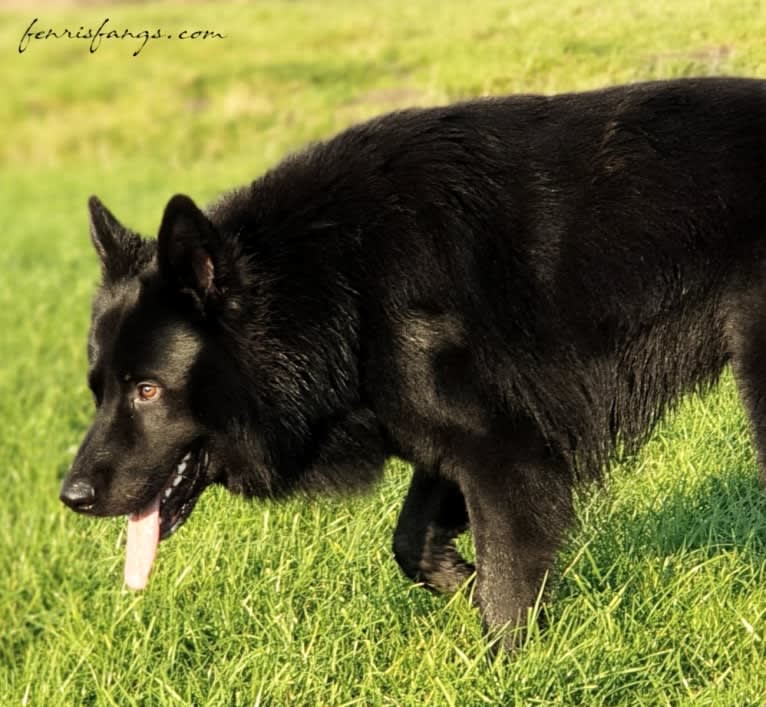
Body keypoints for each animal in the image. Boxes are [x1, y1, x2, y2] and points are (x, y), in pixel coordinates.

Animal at [63, 79, 766, 652]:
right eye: (99, 392)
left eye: (148, 390)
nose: (71, 497)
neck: (334, 286)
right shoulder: (451, 440)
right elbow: (411, 542)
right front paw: (459, 580)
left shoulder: (506, 455)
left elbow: (507, 587)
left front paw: (510, 668)